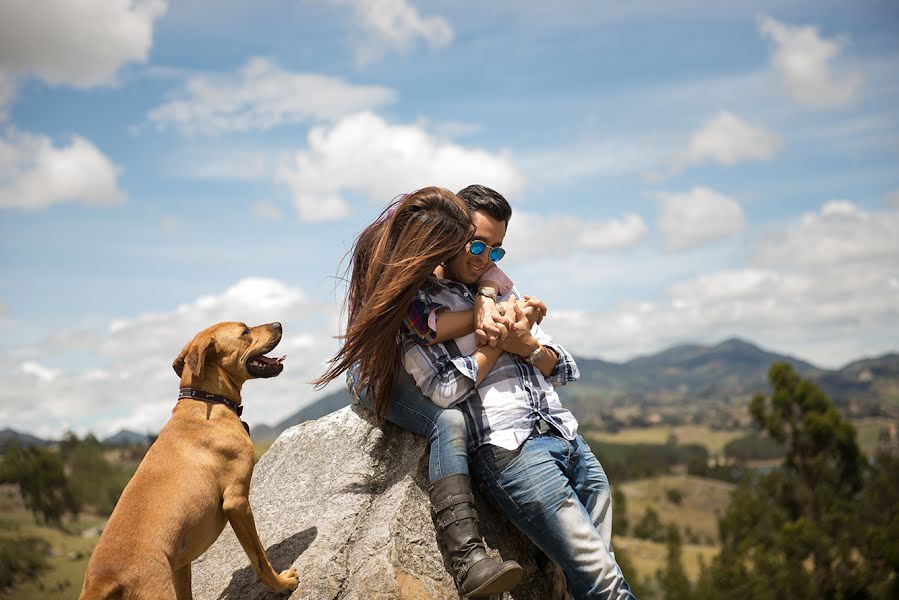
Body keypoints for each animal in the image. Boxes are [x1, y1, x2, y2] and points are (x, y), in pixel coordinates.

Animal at [81, 324, 298, 600]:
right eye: (245, 331)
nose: (279, 324)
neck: (206, 400)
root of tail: (106, 579)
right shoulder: (237, 501)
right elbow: (259, 558)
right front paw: (281, 583)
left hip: (179, 567)